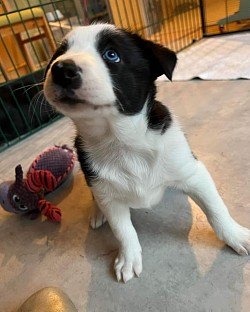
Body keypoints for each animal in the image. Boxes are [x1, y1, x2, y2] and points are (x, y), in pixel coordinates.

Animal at [44, 23, 250, 282]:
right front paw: (129, 257)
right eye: (60, 53)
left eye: (112, 55)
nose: (61, 68)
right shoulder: (108, 196)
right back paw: (97, 212)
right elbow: (123, 230)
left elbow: (216, 209)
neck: (122, 140)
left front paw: (235, 235)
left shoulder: (194, 173)